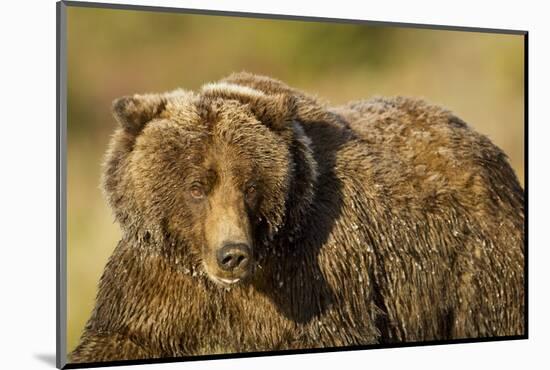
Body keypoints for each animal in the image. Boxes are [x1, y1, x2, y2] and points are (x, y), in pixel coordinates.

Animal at [70, 73, 528, 364]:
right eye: (197, 186)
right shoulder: (160, 280)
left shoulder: (313, 273)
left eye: (249, 185)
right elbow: (123, 336)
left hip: (474, 261)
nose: (232, 254)